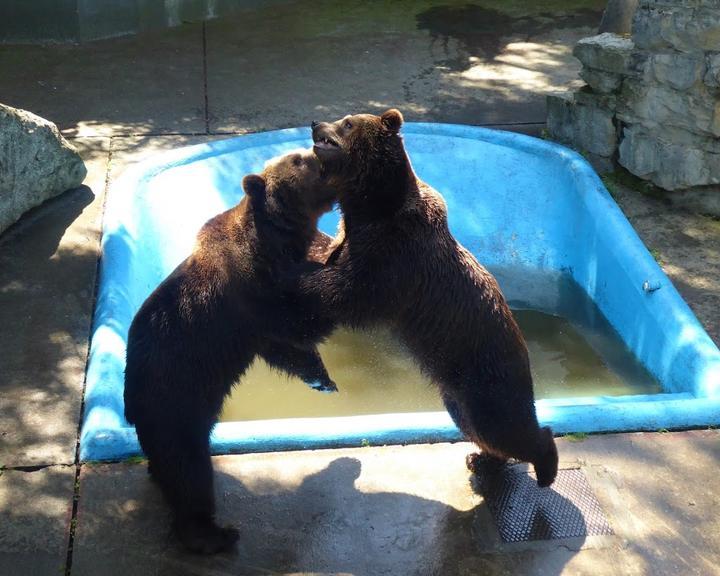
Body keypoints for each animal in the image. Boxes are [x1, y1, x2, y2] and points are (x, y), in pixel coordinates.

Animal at [123, 150, 338, 552]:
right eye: (299, 158)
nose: (321, 151)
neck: (273, 242)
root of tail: (129, 403)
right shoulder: (251, 293)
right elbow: (296, 325)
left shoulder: (259, 321)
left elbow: (289, 350)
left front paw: (323, 380)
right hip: (176, 401)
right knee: (189, 472)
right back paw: (214, 533)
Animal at [306, 109, 560, 486]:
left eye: (347, 123)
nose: (315, 125)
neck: (373, 204)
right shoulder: (355, 235)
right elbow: (332, 256)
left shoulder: (396, 254)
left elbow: (354, 293)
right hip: (457, 391)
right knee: (475, 425)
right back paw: (482, 459)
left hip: (486, 378)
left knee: (505, 427)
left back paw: (544, 464)